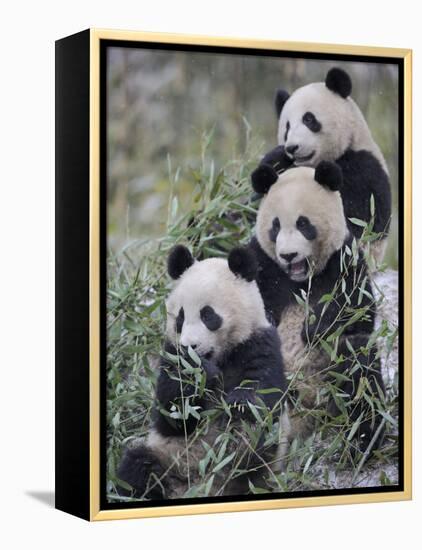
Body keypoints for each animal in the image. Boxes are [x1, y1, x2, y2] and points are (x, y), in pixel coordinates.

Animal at [251, 162, 386, 454]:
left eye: (303, 224)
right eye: (275, 226)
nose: (288, 255)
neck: (301, 280)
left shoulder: (344, 261)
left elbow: (357, 311)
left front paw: (312, 328)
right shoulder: (262, 264)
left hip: (332, 375)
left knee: (360, 369)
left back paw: (361, 443)